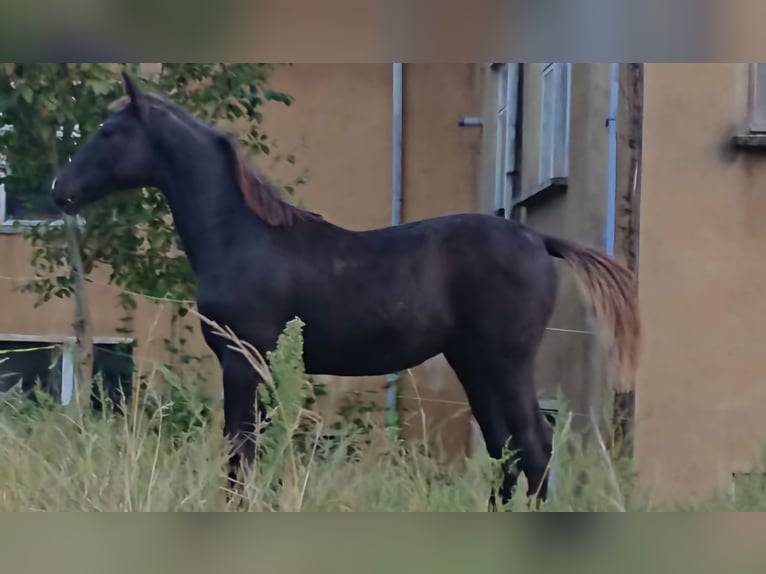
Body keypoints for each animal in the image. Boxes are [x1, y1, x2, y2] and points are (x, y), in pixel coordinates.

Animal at [51, 72, 640, 512]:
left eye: (109, 131)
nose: (61, 190)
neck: (242, 235)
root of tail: (539, 239)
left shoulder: (242, 363)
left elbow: (239, 455)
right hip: (474, 364)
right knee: (506, 452)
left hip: (505, 362)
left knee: (534, 449)